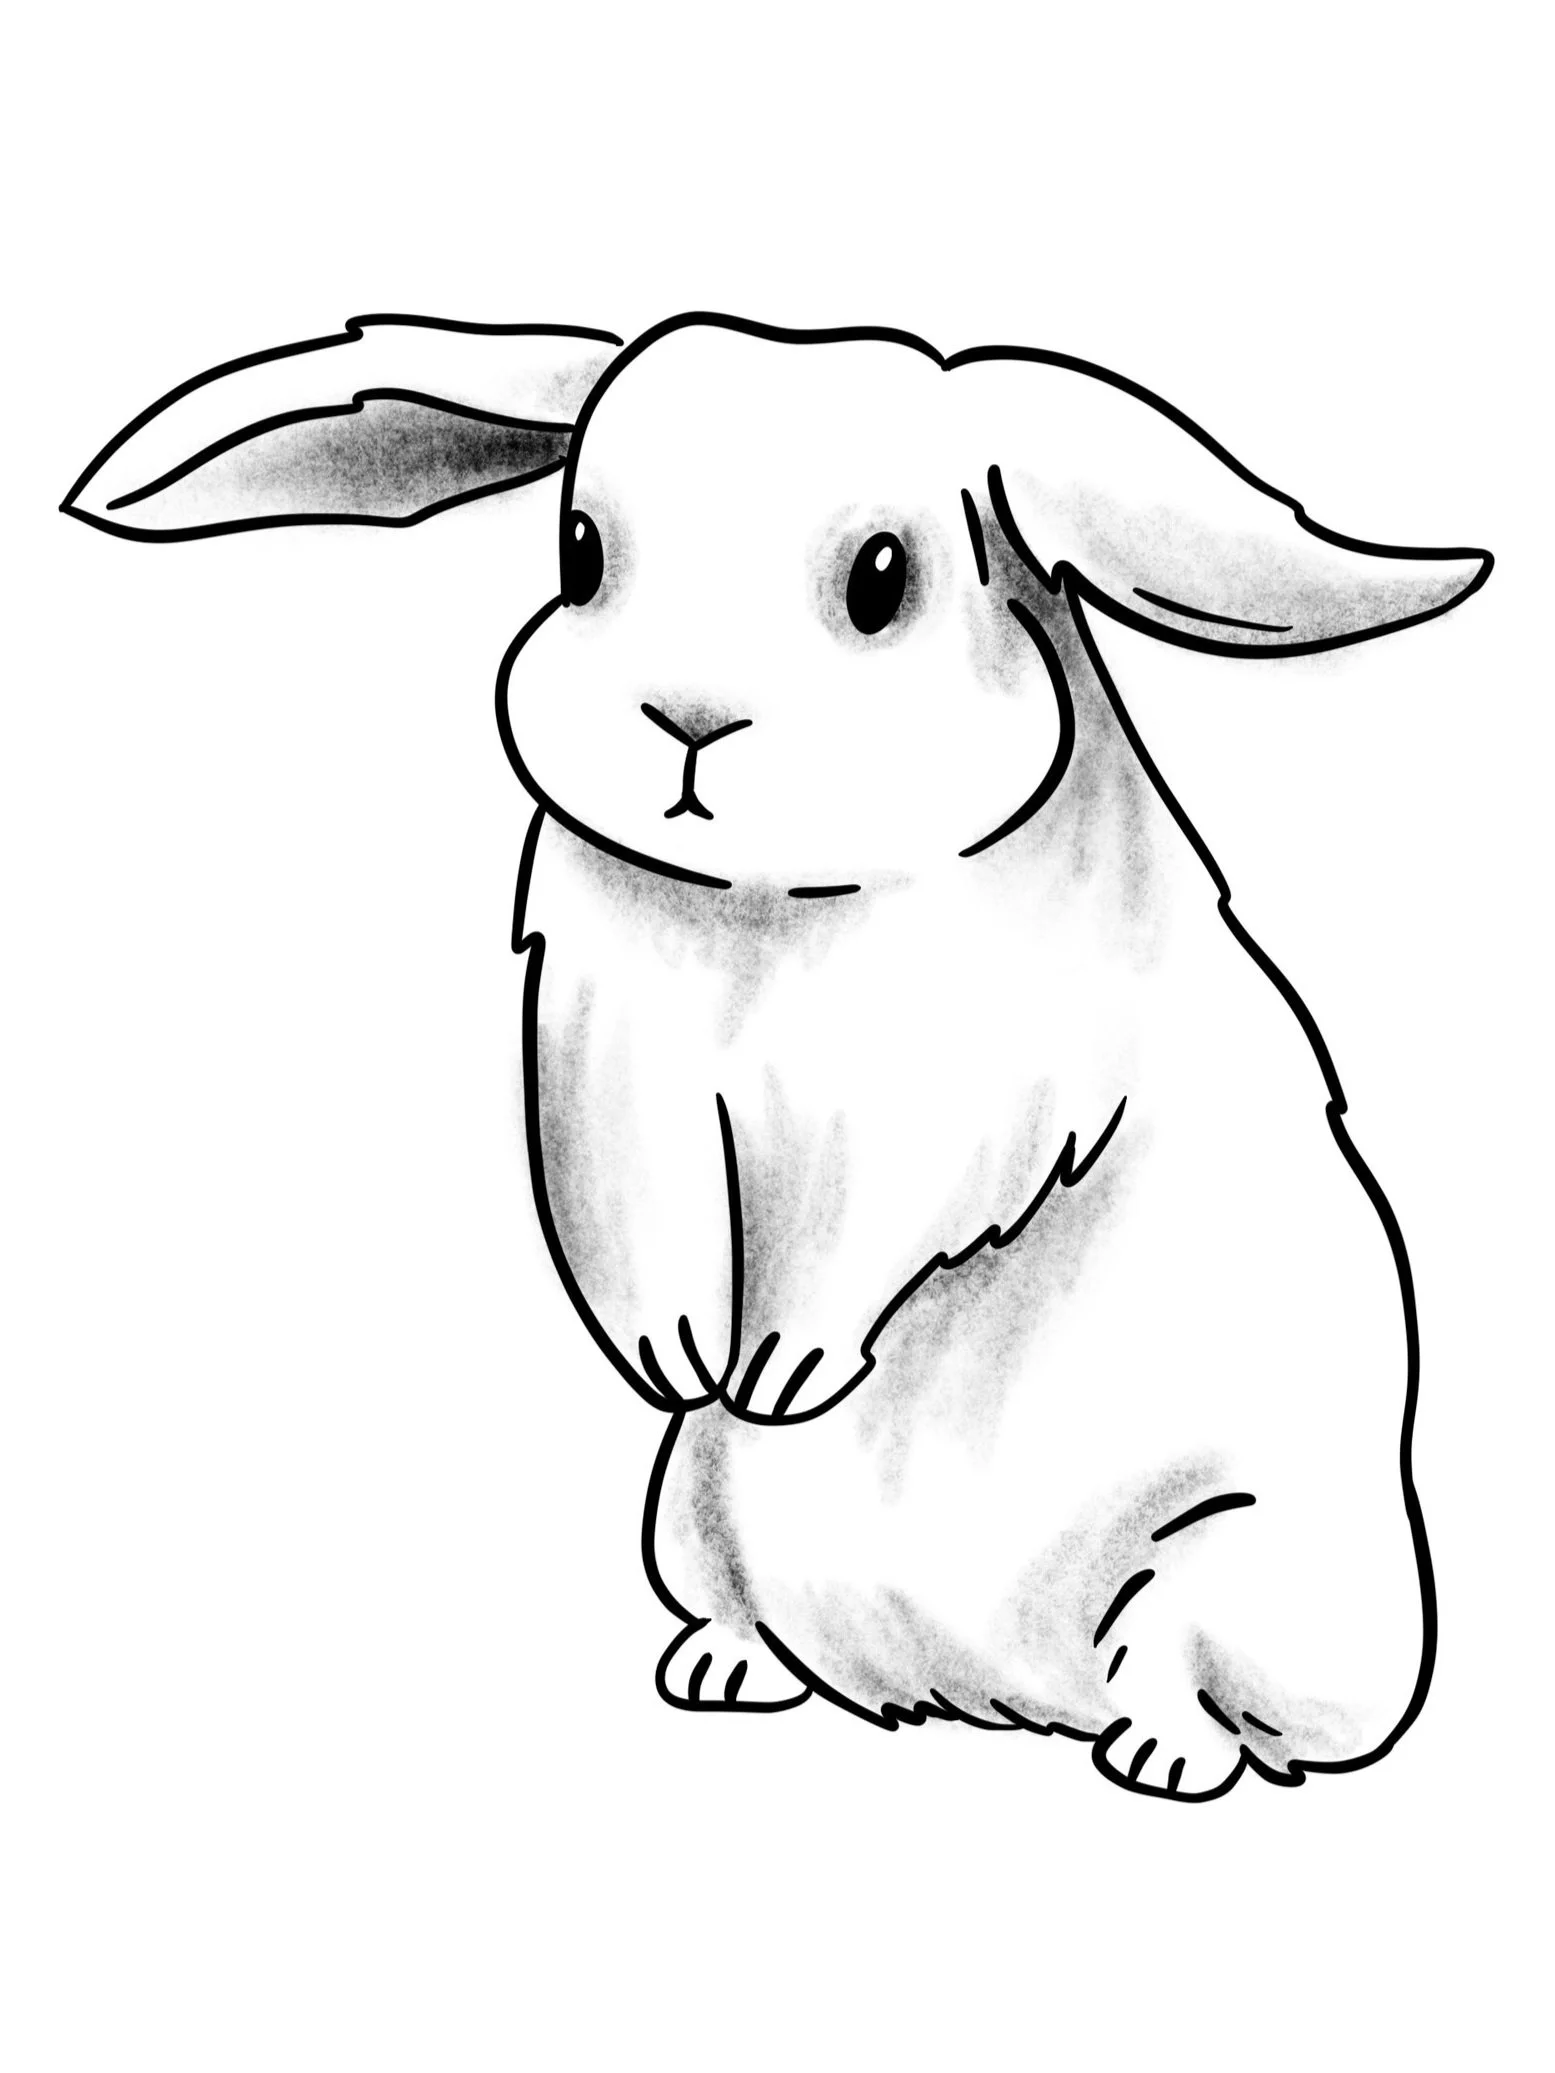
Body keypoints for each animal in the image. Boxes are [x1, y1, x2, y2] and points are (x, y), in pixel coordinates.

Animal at [64, 311, 1491, 1798]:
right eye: (580, 552)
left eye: (881, 579)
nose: (685, 720)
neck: (760, 904)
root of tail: (1002, 1691)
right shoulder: (608, 1069)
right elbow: (634, 1218)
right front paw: (679, 1361)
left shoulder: (945, 1104)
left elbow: (866, 1234)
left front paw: (781, 1374)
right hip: (691, 1512)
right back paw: (722, 1670)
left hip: (1237, 1568)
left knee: (1188, 1679)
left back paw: (1155, 1753)